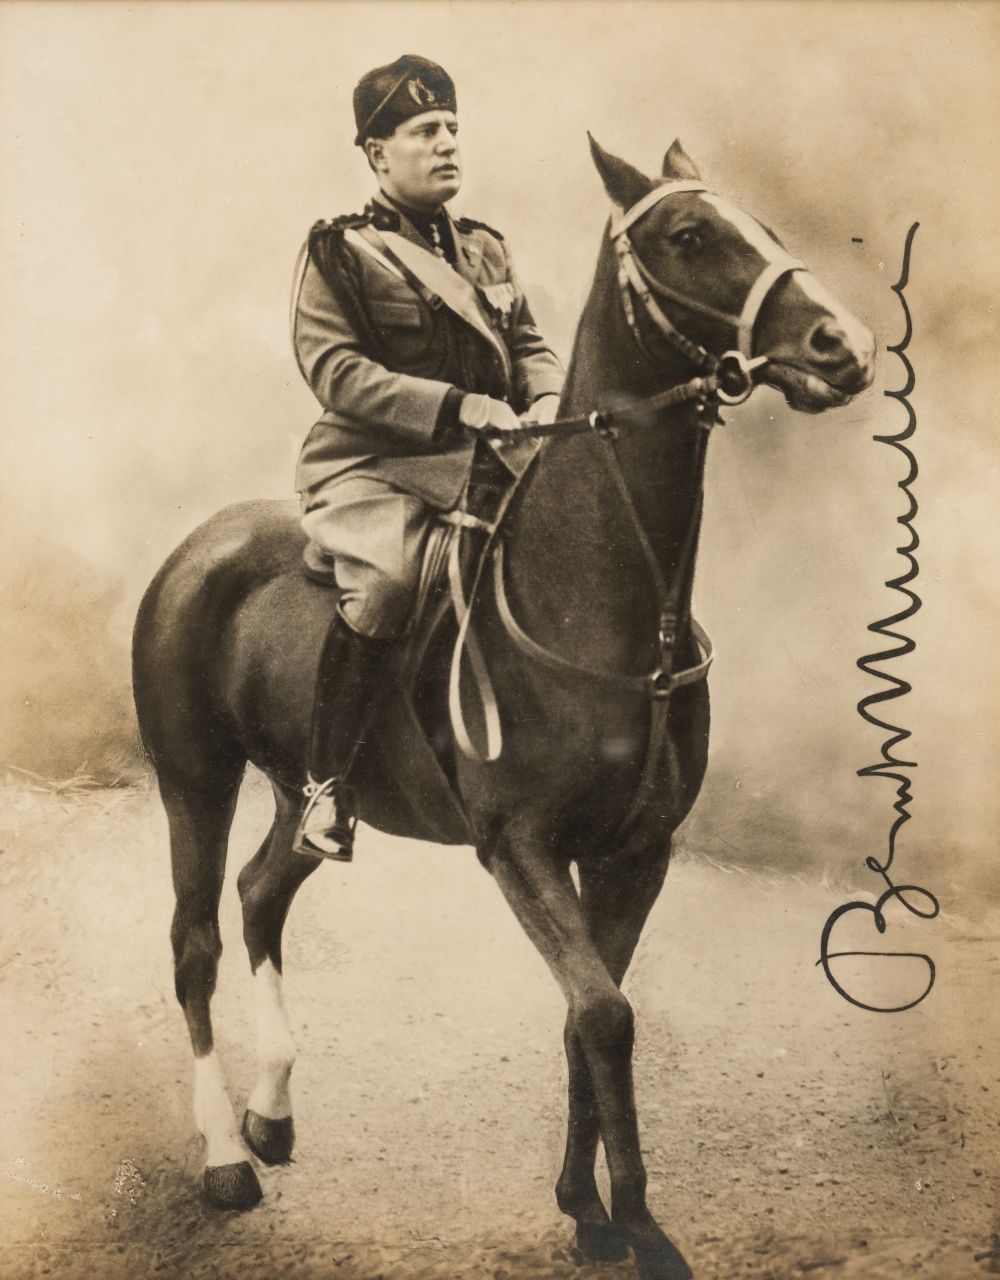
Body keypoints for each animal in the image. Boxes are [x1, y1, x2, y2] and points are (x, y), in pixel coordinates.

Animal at [134, 135, 875, 1274]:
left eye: (767, 226)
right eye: (688, 235)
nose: (845, 345)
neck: (603, 602)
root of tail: (197, 545)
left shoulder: (634, 852)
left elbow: (585, 1012)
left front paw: (585, 1206)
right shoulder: (517, 846)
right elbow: (606, 1013)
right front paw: (639, 1224)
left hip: (303, 793)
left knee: (261, 893)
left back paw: (273, 1112)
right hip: (194, 783)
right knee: (195, 942)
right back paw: (225, 1154)